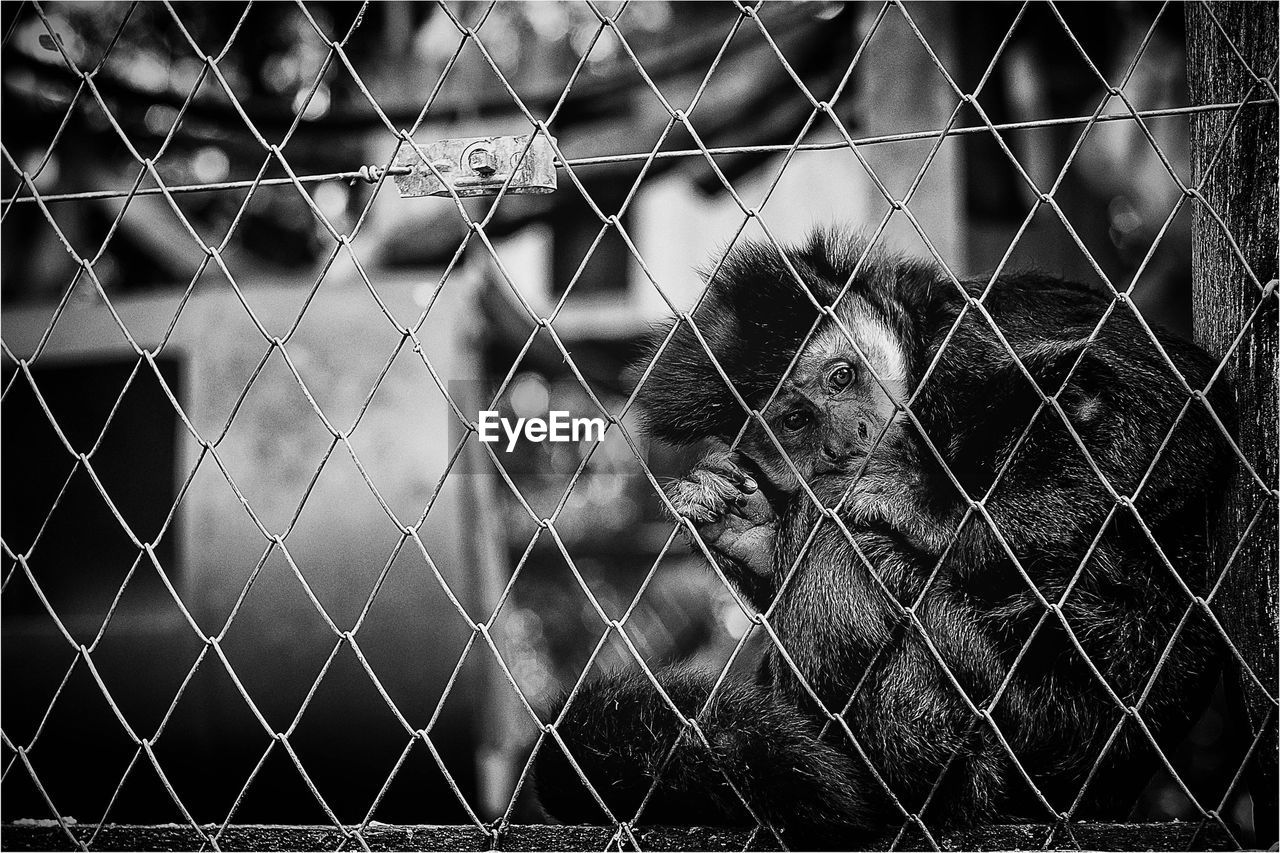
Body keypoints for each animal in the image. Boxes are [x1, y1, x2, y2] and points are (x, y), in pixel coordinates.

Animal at [527, 225, 1228, 845]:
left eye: (842, 377)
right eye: (795, 420)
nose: (853, 436)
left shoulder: (971, 338)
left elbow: (1184, 416)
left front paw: (926, 508)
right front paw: (749, 529)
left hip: (1053, 718)